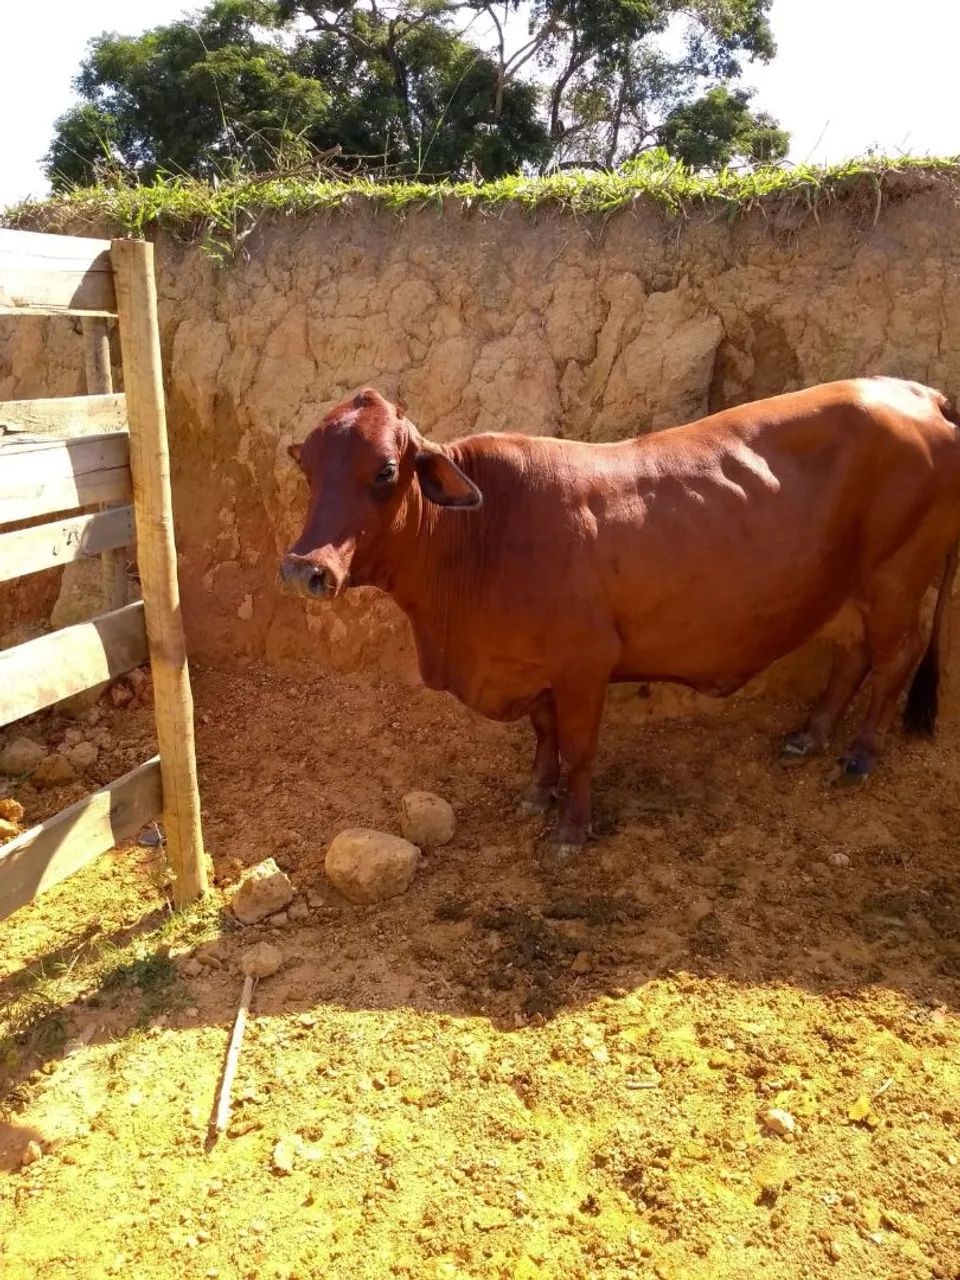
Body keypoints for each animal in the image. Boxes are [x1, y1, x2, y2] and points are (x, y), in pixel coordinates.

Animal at [280, 378, 960, 862]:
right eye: (308, 469)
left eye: (385, 471)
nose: (303, 569)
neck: (481, 535)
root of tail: (919, 394)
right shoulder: (536, 671)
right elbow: (546, 736)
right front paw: (536, 795)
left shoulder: (584, 666)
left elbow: (580, 747)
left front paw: (570, 831)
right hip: (851, 589)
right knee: (854, 654)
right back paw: (809, 736)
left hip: (896, 578)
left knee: (895, 657)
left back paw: (859, 756)